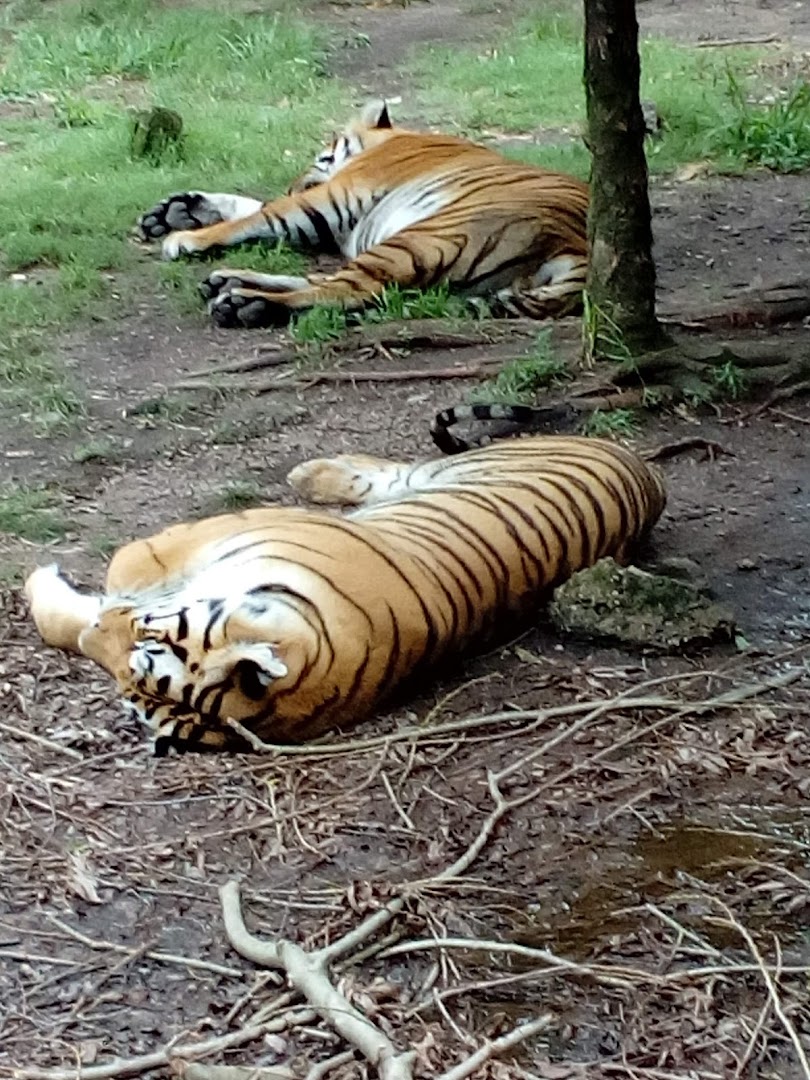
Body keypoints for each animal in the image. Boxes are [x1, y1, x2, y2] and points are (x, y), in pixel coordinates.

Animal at [23, 434, 665, 756]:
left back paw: (309, 473)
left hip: (445, 471)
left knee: (397, 468)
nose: (103, 630)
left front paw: (48, 584)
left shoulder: (213, 534)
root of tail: (648, 470)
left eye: (147, 644)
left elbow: (121, 569)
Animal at [135, 101, 591, 328]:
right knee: (343, 286)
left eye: (321, 157)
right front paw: (180, 210)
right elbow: (258, 206)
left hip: (424, 238)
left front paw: (182, 237)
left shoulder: (334, 196)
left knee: (344, 290)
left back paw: (245, 303)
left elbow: (265, 214)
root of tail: (576, 251)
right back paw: (229, 282)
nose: (295, 183)